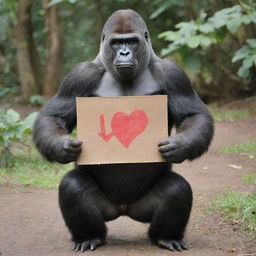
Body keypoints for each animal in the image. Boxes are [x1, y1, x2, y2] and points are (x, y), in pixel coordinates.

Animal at [33, 9, 214, 252]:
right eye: (117, 42)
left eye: (132, 41)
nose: (125, 53)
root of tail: (124, 209)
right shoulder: (79, 74)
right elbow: (54, 117)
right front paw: (64, 147)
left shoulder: (173, 73)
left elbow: (193, 115)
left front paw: (179, 146)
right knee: (73, 186)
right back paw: (90, 236)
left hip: (141, 208)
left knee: (177, 188)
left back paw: (165, 237)